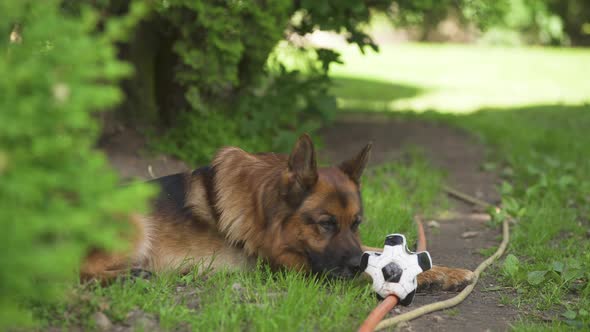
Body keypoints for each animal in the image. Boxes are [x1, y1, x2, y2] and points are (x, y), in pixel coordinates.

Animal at [81, 134, 474, 292]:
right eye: (325, 224)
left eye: (356, 223)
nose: (354, 263)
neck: (265, 208)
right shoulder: (299, 269)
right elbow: (369, 271)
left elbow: (376, 254)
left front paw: (443, 272)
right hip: (133, 223)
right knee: (76, 275)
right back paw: (129, 276)